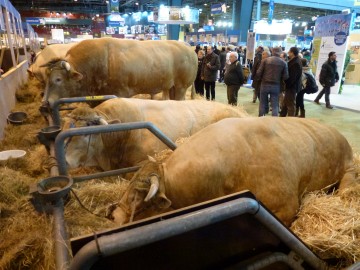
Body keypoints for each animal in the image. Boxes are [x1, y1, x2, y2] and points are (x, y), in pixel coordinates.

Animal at [41, 37, 197, 106]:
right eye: (46, 77)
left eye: (58, 79)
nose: (45, 103)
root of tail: (187, 46)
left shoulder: (120, 93)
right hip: (172, 87)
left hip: (182, 87)